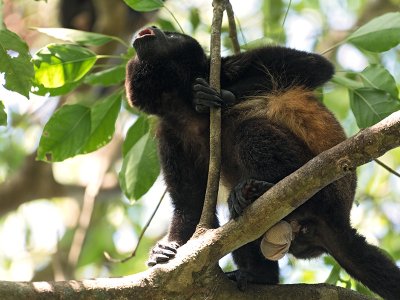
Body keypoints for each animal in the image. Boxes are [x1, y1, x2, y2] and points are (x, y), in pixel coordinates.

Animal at [125, 27, 400, 298]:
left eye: (171, 35)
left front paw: (211, 96)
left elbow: (316, 66)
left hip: (327, 188)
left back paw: (261, 187)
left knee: (250, 130)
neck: (179, 101)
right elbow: (190, 203)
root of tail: (339, 218)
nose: (153, 28)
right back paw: (259, 275)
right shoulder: (170, 133)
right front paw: (166, 250)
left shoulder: (228, 66)